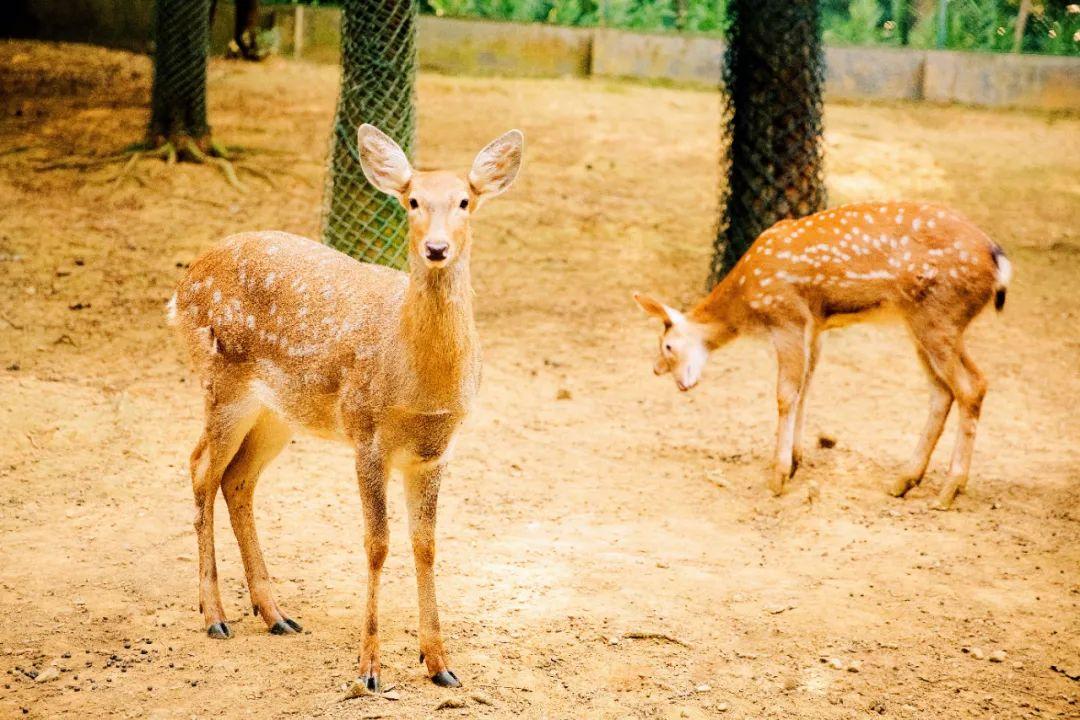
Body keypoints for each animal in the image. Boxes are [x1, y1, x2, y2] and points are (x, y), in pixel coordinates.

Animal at [167, 125, 522, 690]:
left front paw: (439, 664)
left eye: (465, 201)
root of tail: (181, 288)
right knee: (201, 466)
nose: (436, 247)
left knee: (237, 479)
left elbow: (426, 545)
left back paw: (275, 614)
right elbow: (377, 544)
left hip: (278, 413)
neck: (419, 384)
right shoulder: (367, 434)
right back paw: (215, 616)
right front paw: (369, 669)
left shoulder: (434, 450)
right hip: (220, 381)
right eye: (412, 200)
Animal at [630, 199, 1010, 509]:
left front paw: (778, 476)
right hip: (921, 324)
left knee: (972, 385)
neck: (747, 299)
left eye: (667, 345)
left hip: (940, 315)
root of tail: (999, 262)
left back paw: (948, 491)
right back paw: (904, 481)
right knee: (943, 391)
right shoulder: (814, 327)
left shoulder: (786, 316)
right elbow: (806, 387)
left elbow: (785, 394)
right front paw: (796, 462)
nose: (657, 370)